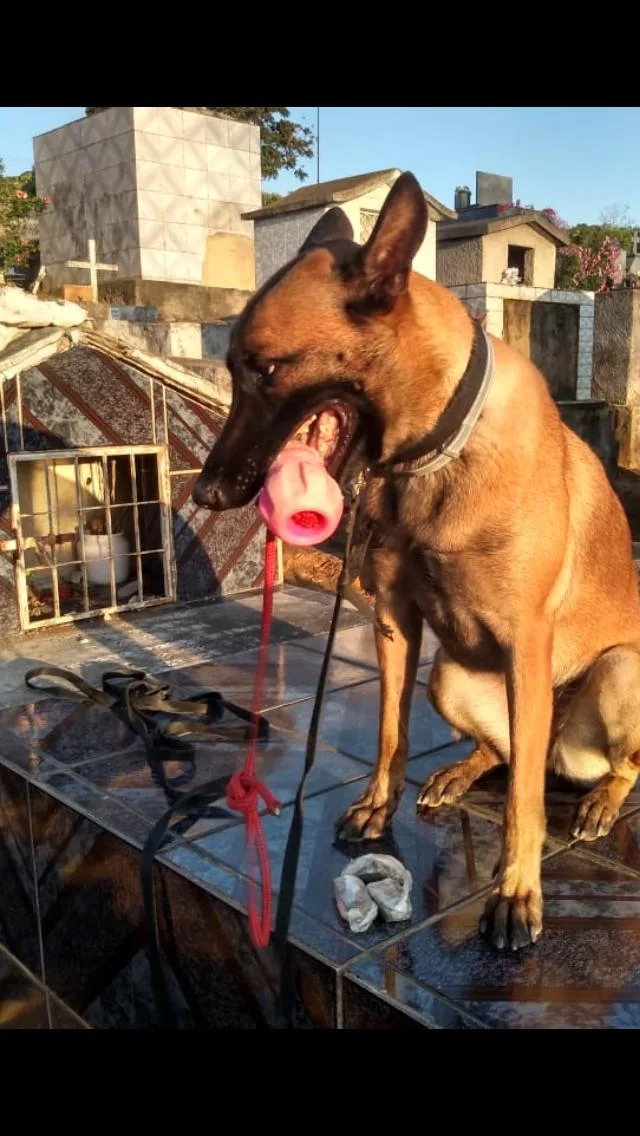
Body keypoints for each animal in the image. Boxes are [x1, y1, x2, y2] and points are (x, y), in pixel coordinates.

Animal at [193, 170, 640, 949]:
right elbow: (389, 734)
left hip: (618, 671)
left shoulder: (526, 642)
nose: (205, 492)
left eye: (265, 369)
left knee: (602, 767)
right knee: (511, 755)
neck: (434, 453)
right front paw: (380, 805)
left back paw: (600, 802)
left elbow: (523, 804)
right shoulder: (396, 624)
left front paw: (517, 892)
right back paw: (461, 772)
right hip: (449, 679)